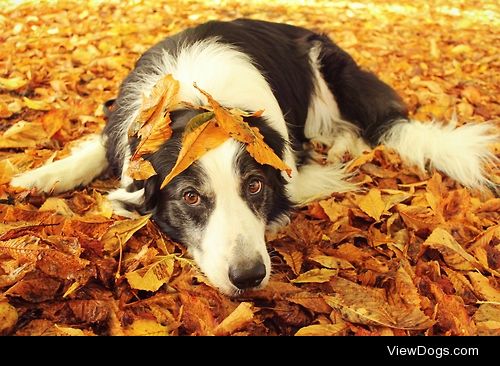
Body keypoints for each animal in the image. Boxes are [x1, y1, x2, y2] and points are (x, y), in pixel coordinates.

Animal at [11, 18, 496, 296]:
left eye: (255, 186)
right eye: (190, 197)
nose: (248, 278)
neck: (203, 100)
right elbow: (97, 150)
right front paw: (43, 176)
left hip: (327, 68)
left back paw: (347, 145)